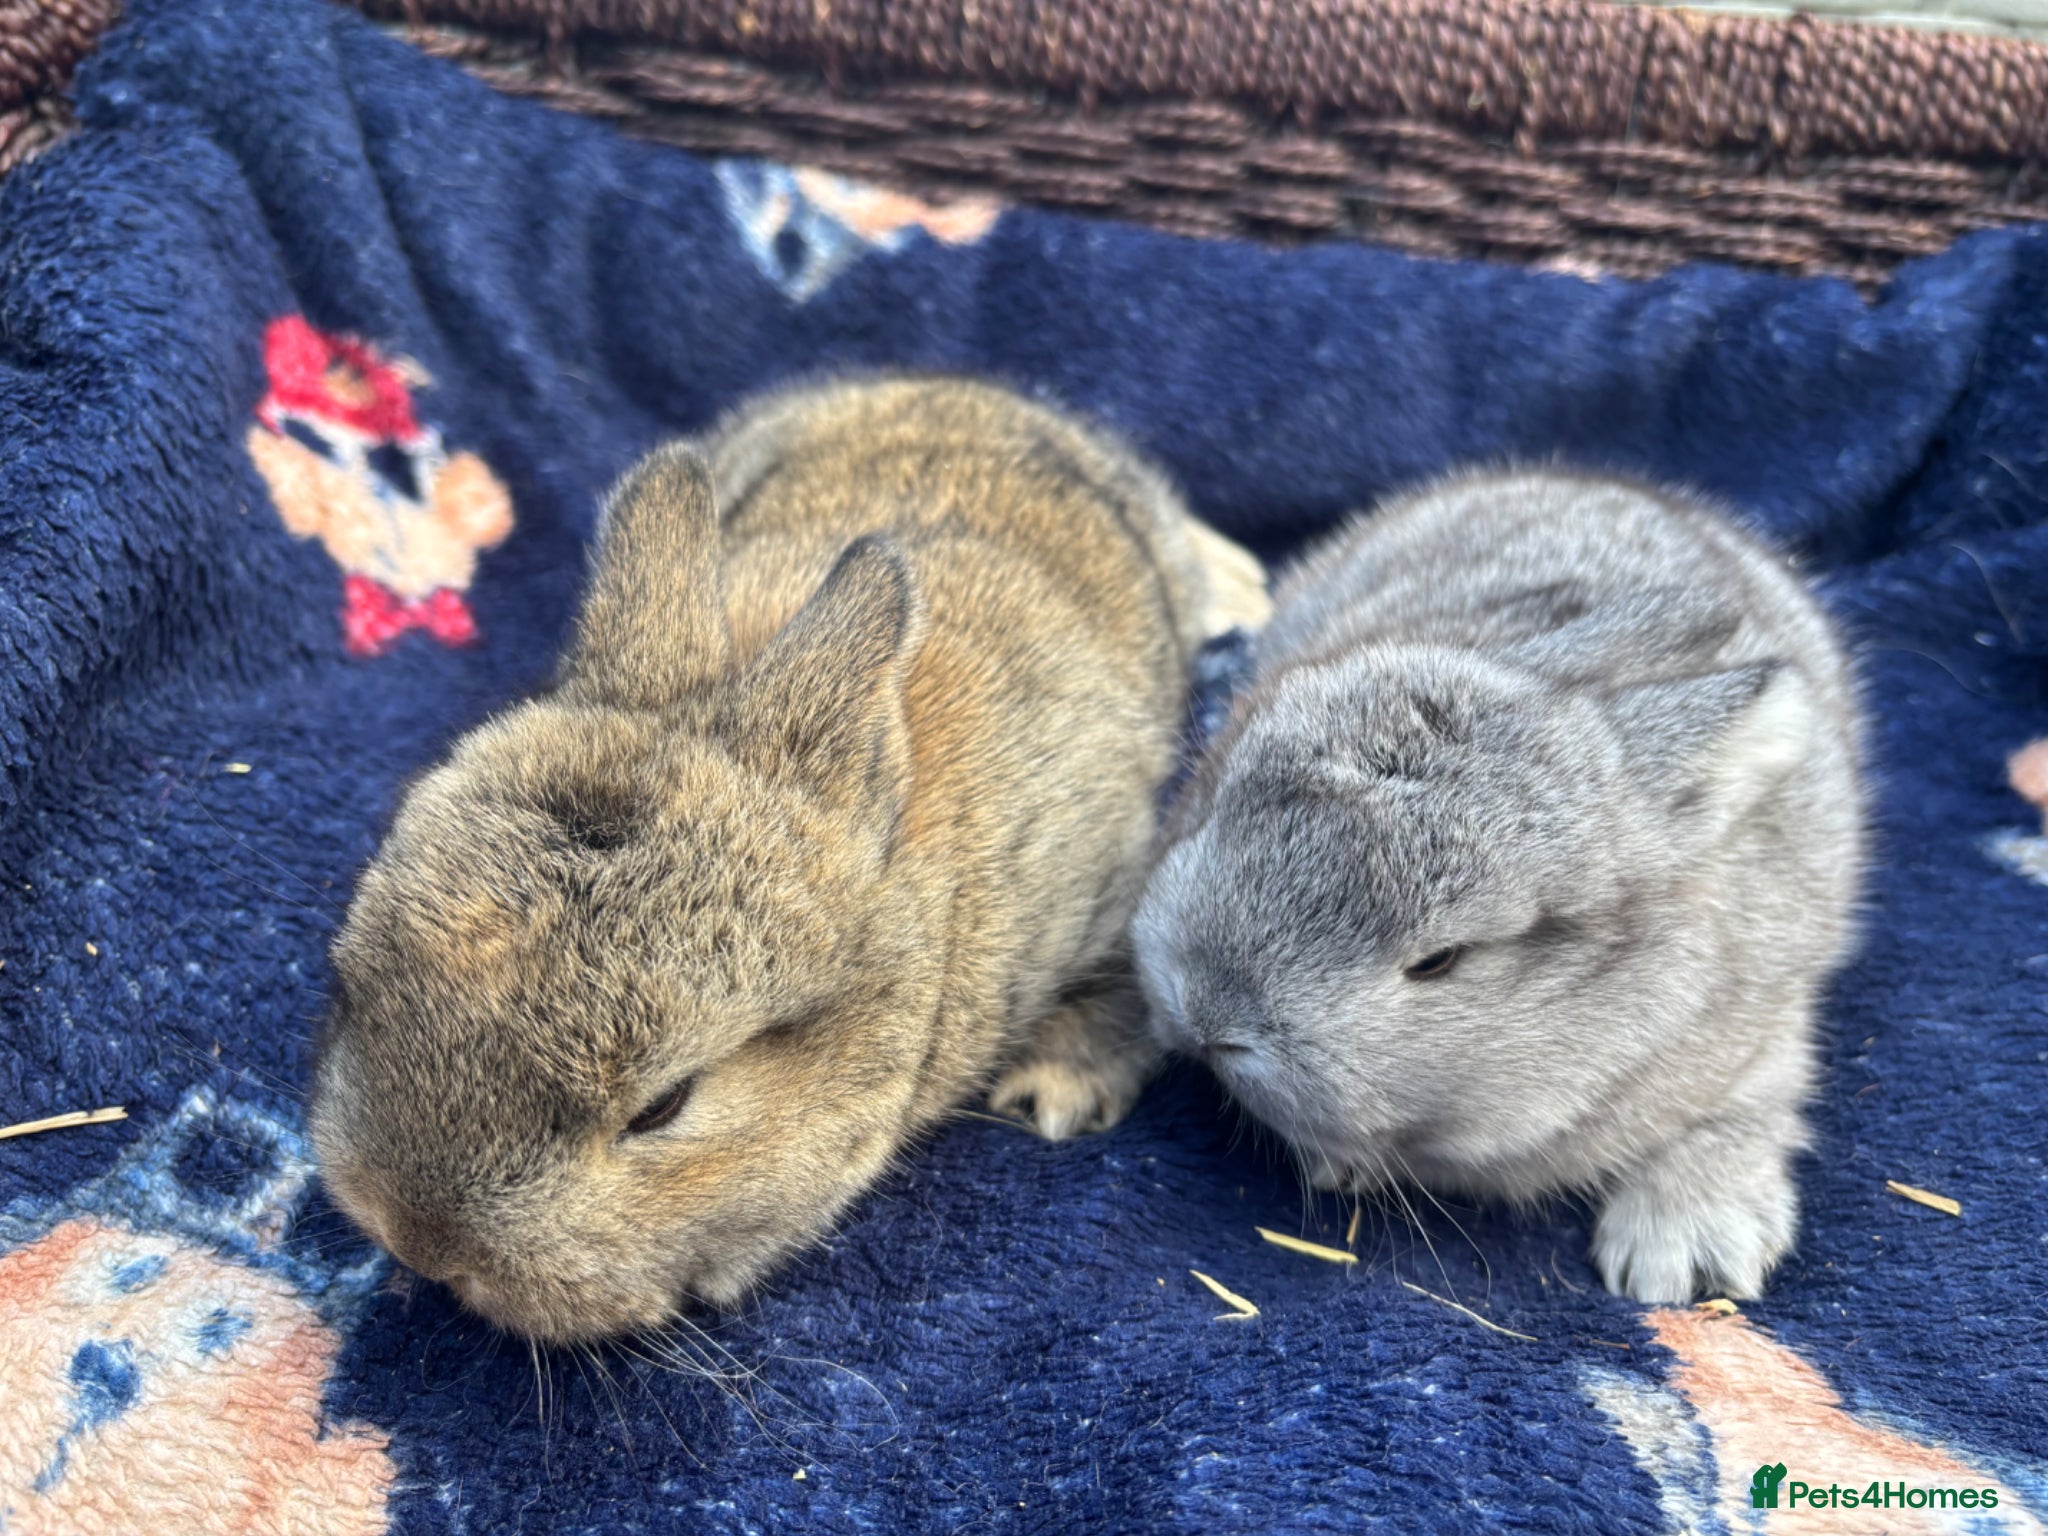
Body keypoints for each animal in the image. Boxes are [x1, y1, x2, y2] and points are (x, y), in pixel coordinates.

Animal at [1132, 467, 1865, 1304]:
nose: (1207, 1014)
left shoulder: (1763, 1027)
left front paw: (1684, 1256)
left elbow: (1747, 1108)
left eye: (1439, 960)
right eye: (1224, 790)